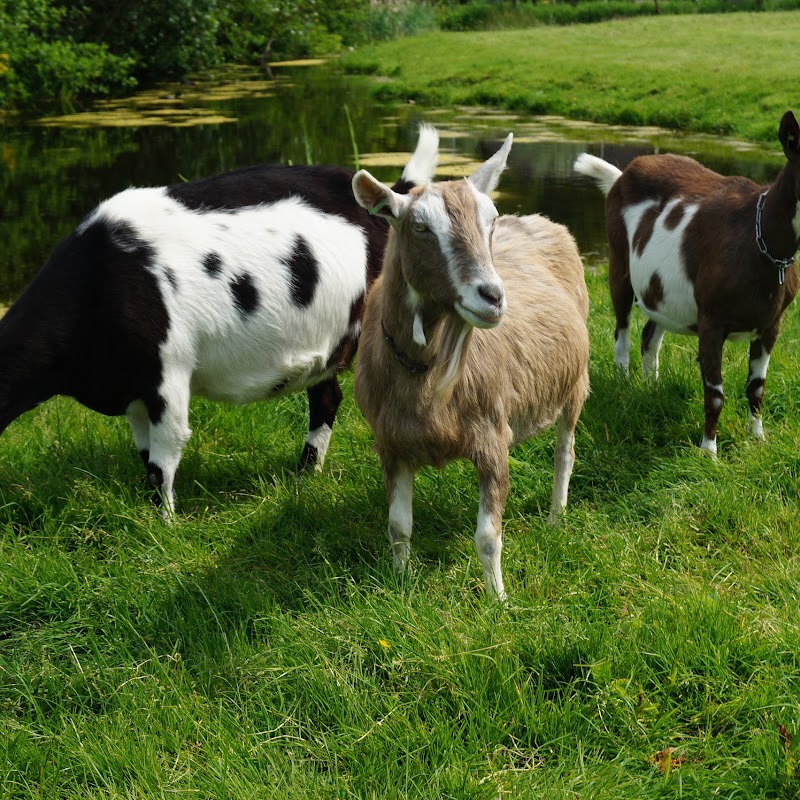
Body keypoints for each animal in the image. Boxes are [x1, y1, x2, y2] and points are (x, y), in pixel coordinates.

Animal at [0, 125, 438, 512]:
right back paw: (304, 475)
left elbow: (163, 458)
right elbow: (145, 453)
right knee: (326, 397)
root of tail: (390, 195)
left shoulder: (168, 374)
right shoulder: (134, 390)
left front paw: (165, 526)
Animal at [354, 131, 592, 596]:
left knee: (565, 452)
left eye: (490, 221)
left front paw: (498, 599)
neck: (424, 375)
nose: (493, 297)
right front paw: (401, 583)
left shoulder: (491, 439)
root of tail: (540, 220)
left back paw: (556, 518)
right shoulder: (391, 444)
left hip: (575, 384)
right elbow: (398, 526)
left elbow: (487, 536)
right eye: (420, 227)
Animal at [576, 111, 800, 456]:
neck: (757, 237)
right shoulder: (711, 320)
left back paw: (650, 389)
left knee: (650, 333)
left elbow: (757, 387)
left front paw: (758, 440)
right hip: (619, 264)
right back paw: (624, 386)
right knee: (622, 331)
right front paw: (709, 452)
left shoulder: (772, 322)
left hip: (662, 289)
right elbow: (715, 392)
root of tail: (621, 175)